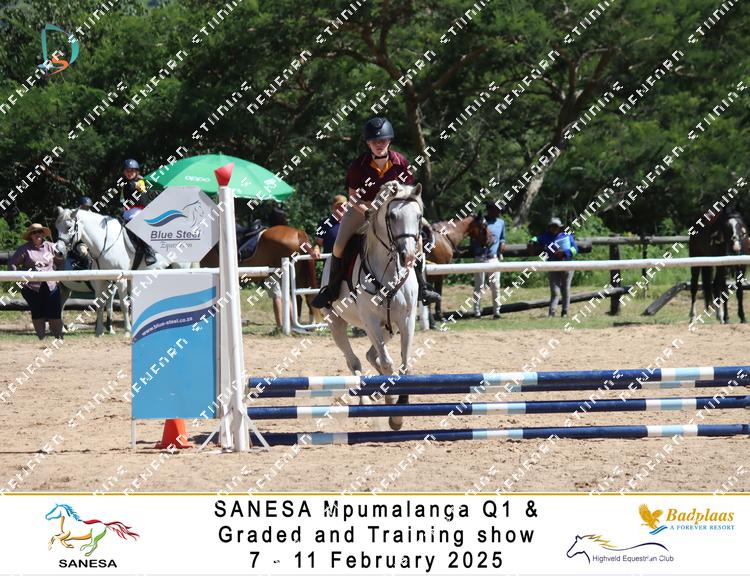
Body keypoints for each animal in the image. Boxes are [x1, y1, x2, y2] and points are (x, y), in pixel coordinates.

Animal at [55, 207, 191, 336]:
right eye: (57, 227)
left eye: (69, 227)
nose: (59, 252)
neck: (104, 243)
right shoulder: (101, 281)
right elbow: (101, 305)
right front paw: (99, 331)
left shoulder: (120, 280)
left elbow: (123, 304)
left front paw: (127, 331)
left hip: (180, 268)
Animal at [322, 181, 424, 431]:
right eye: (393, 216)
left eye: (418, 216)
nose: (408, 256)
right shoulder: (371, 322)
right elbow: (387, 363)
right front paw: (393, 413)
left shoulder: (406, 320)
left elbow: (404, 365)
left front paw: (399, 405)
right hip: (339, 325)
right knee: (354, 361)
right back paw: (365, 399)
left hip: (389, 328)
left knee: (371, 356)